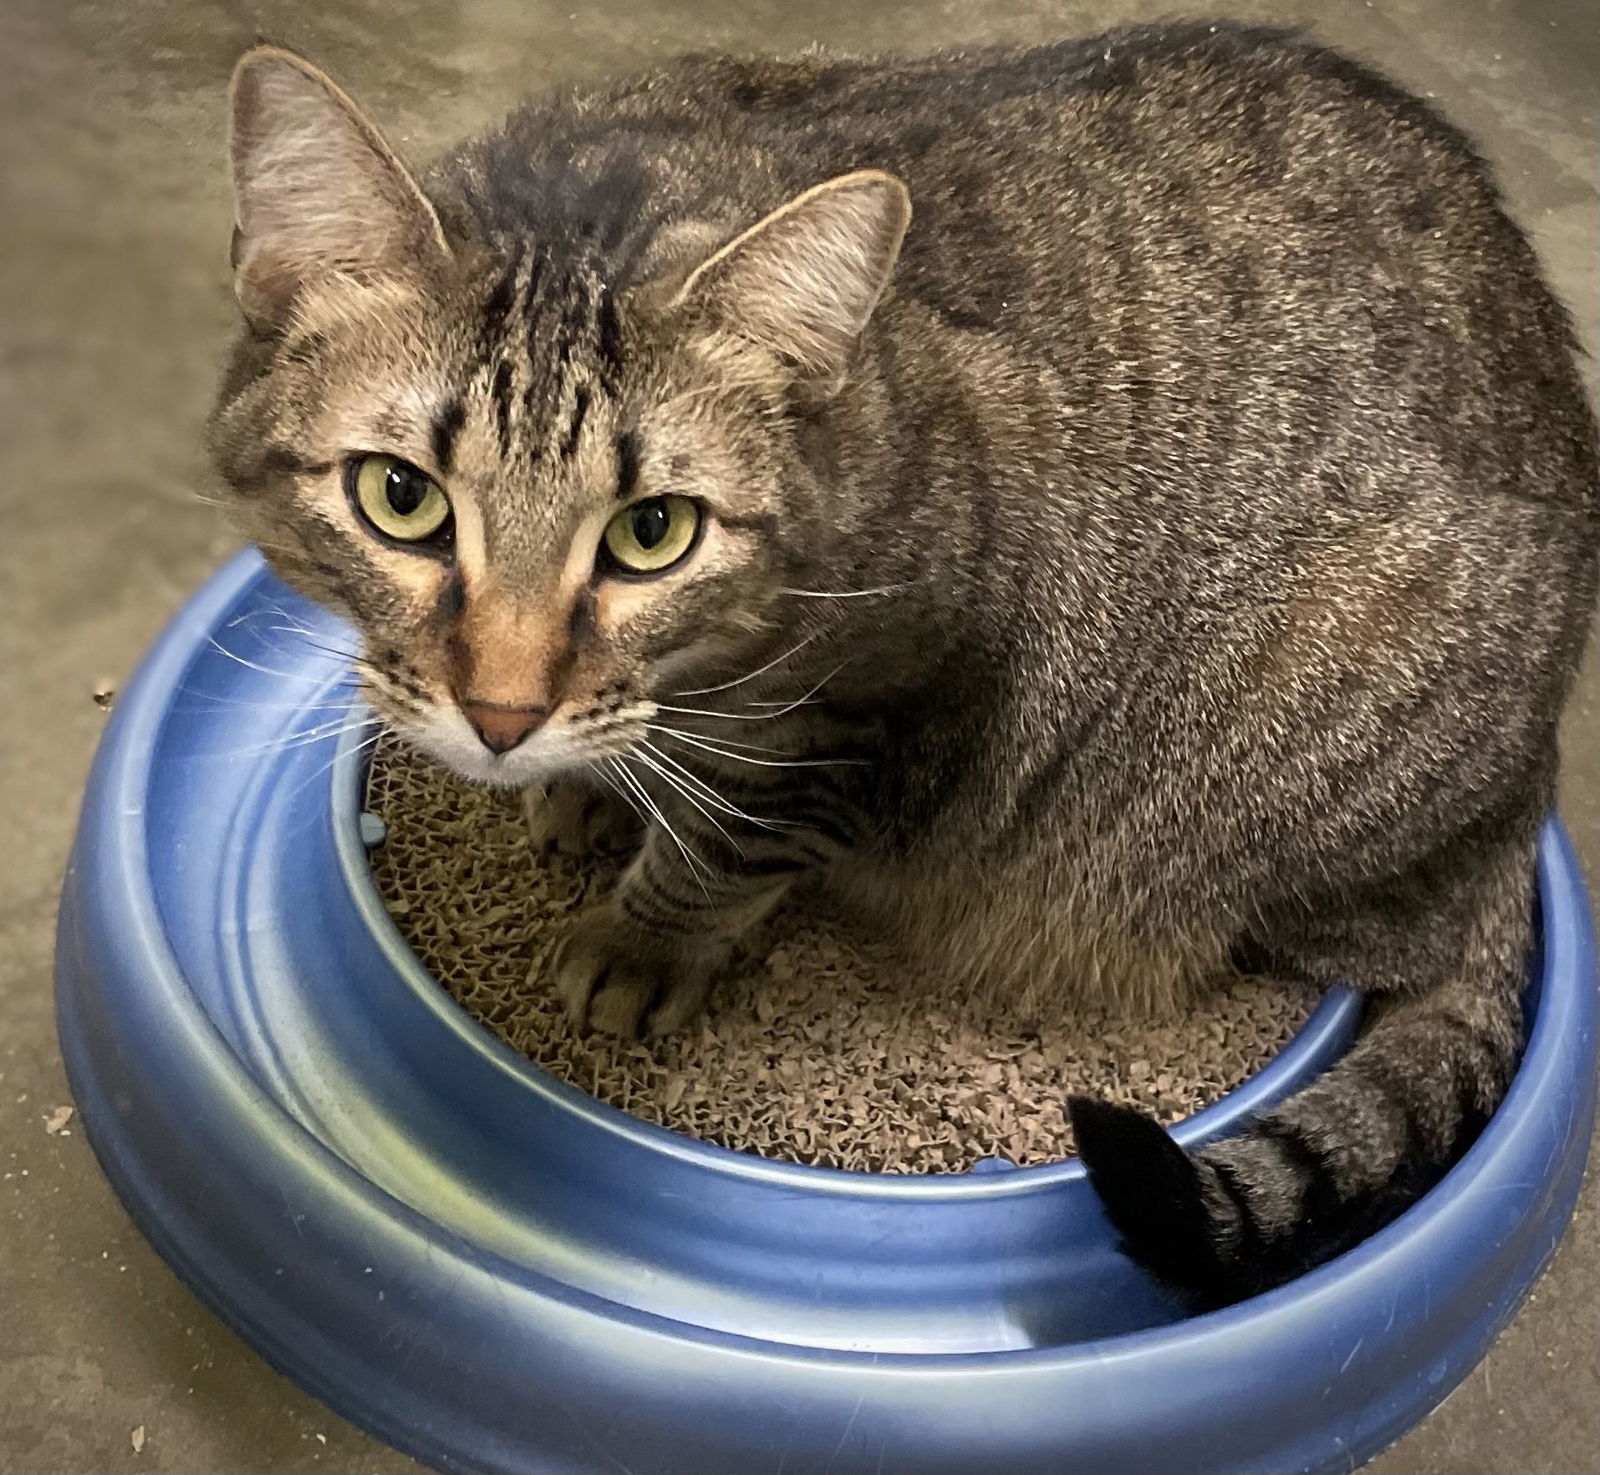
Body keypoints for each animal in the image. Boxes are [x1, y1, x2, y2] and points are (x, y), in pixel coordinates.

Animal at [209, 22, 1600, 1305]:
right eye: (399, 498)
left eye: (653, 531)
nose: (501, 714)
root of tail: (1521, 800)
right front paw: (588, 793)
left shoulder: (886, 702)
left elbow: (729, 842)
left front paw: (644, 935)